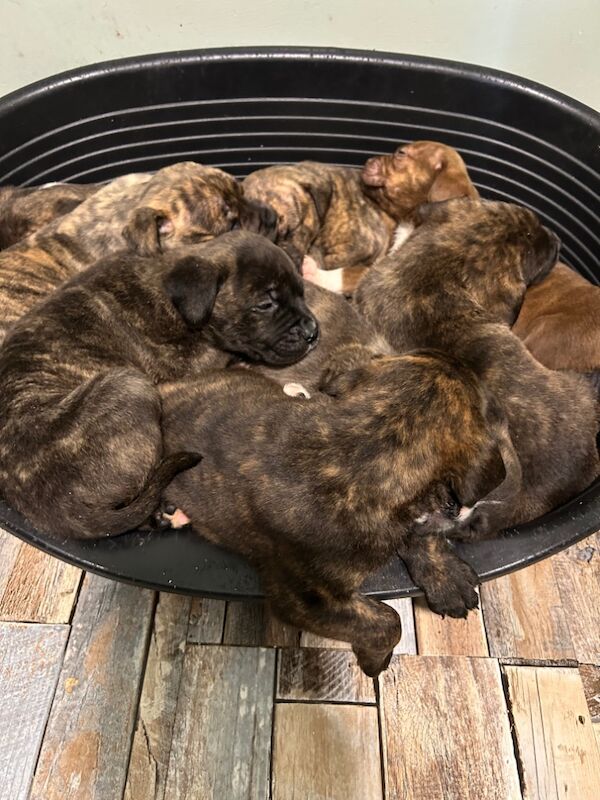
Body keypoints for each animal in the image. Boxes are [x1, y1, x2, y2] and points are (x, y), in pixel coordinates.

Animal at [0, 233, 318, 544]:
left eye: (301, 293)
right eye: (265, 305)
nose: (313, 332)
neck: (173, 297)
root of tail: (60, 510)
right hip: (130, 384)